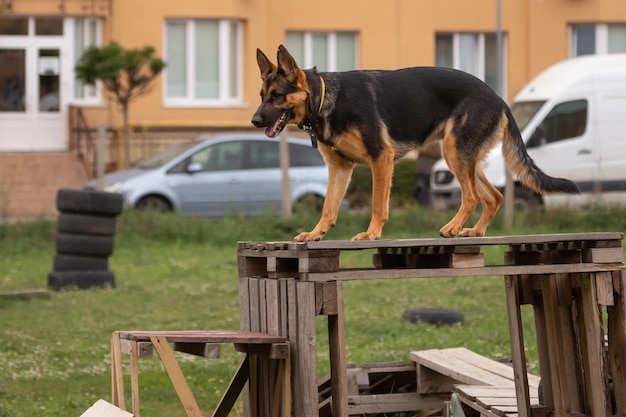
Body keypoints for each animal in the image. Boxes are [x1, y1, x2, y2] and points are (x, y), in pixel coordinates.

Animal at [250, 44, 576, 240]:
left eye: (276, 96)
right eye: (261, 96)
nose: (254, 120)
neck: (326, 98)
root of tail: (499, 99)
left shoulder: (381, 158)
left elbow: (378, 205)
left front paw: (371, 234)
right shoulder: (340, 170)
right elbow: (328, 207)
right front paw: (315, 234)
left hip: (454, 153)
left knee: (471, 196)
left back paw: (453, 227)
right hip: (465, 158)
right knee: (493, 196)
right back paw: (474, 231)